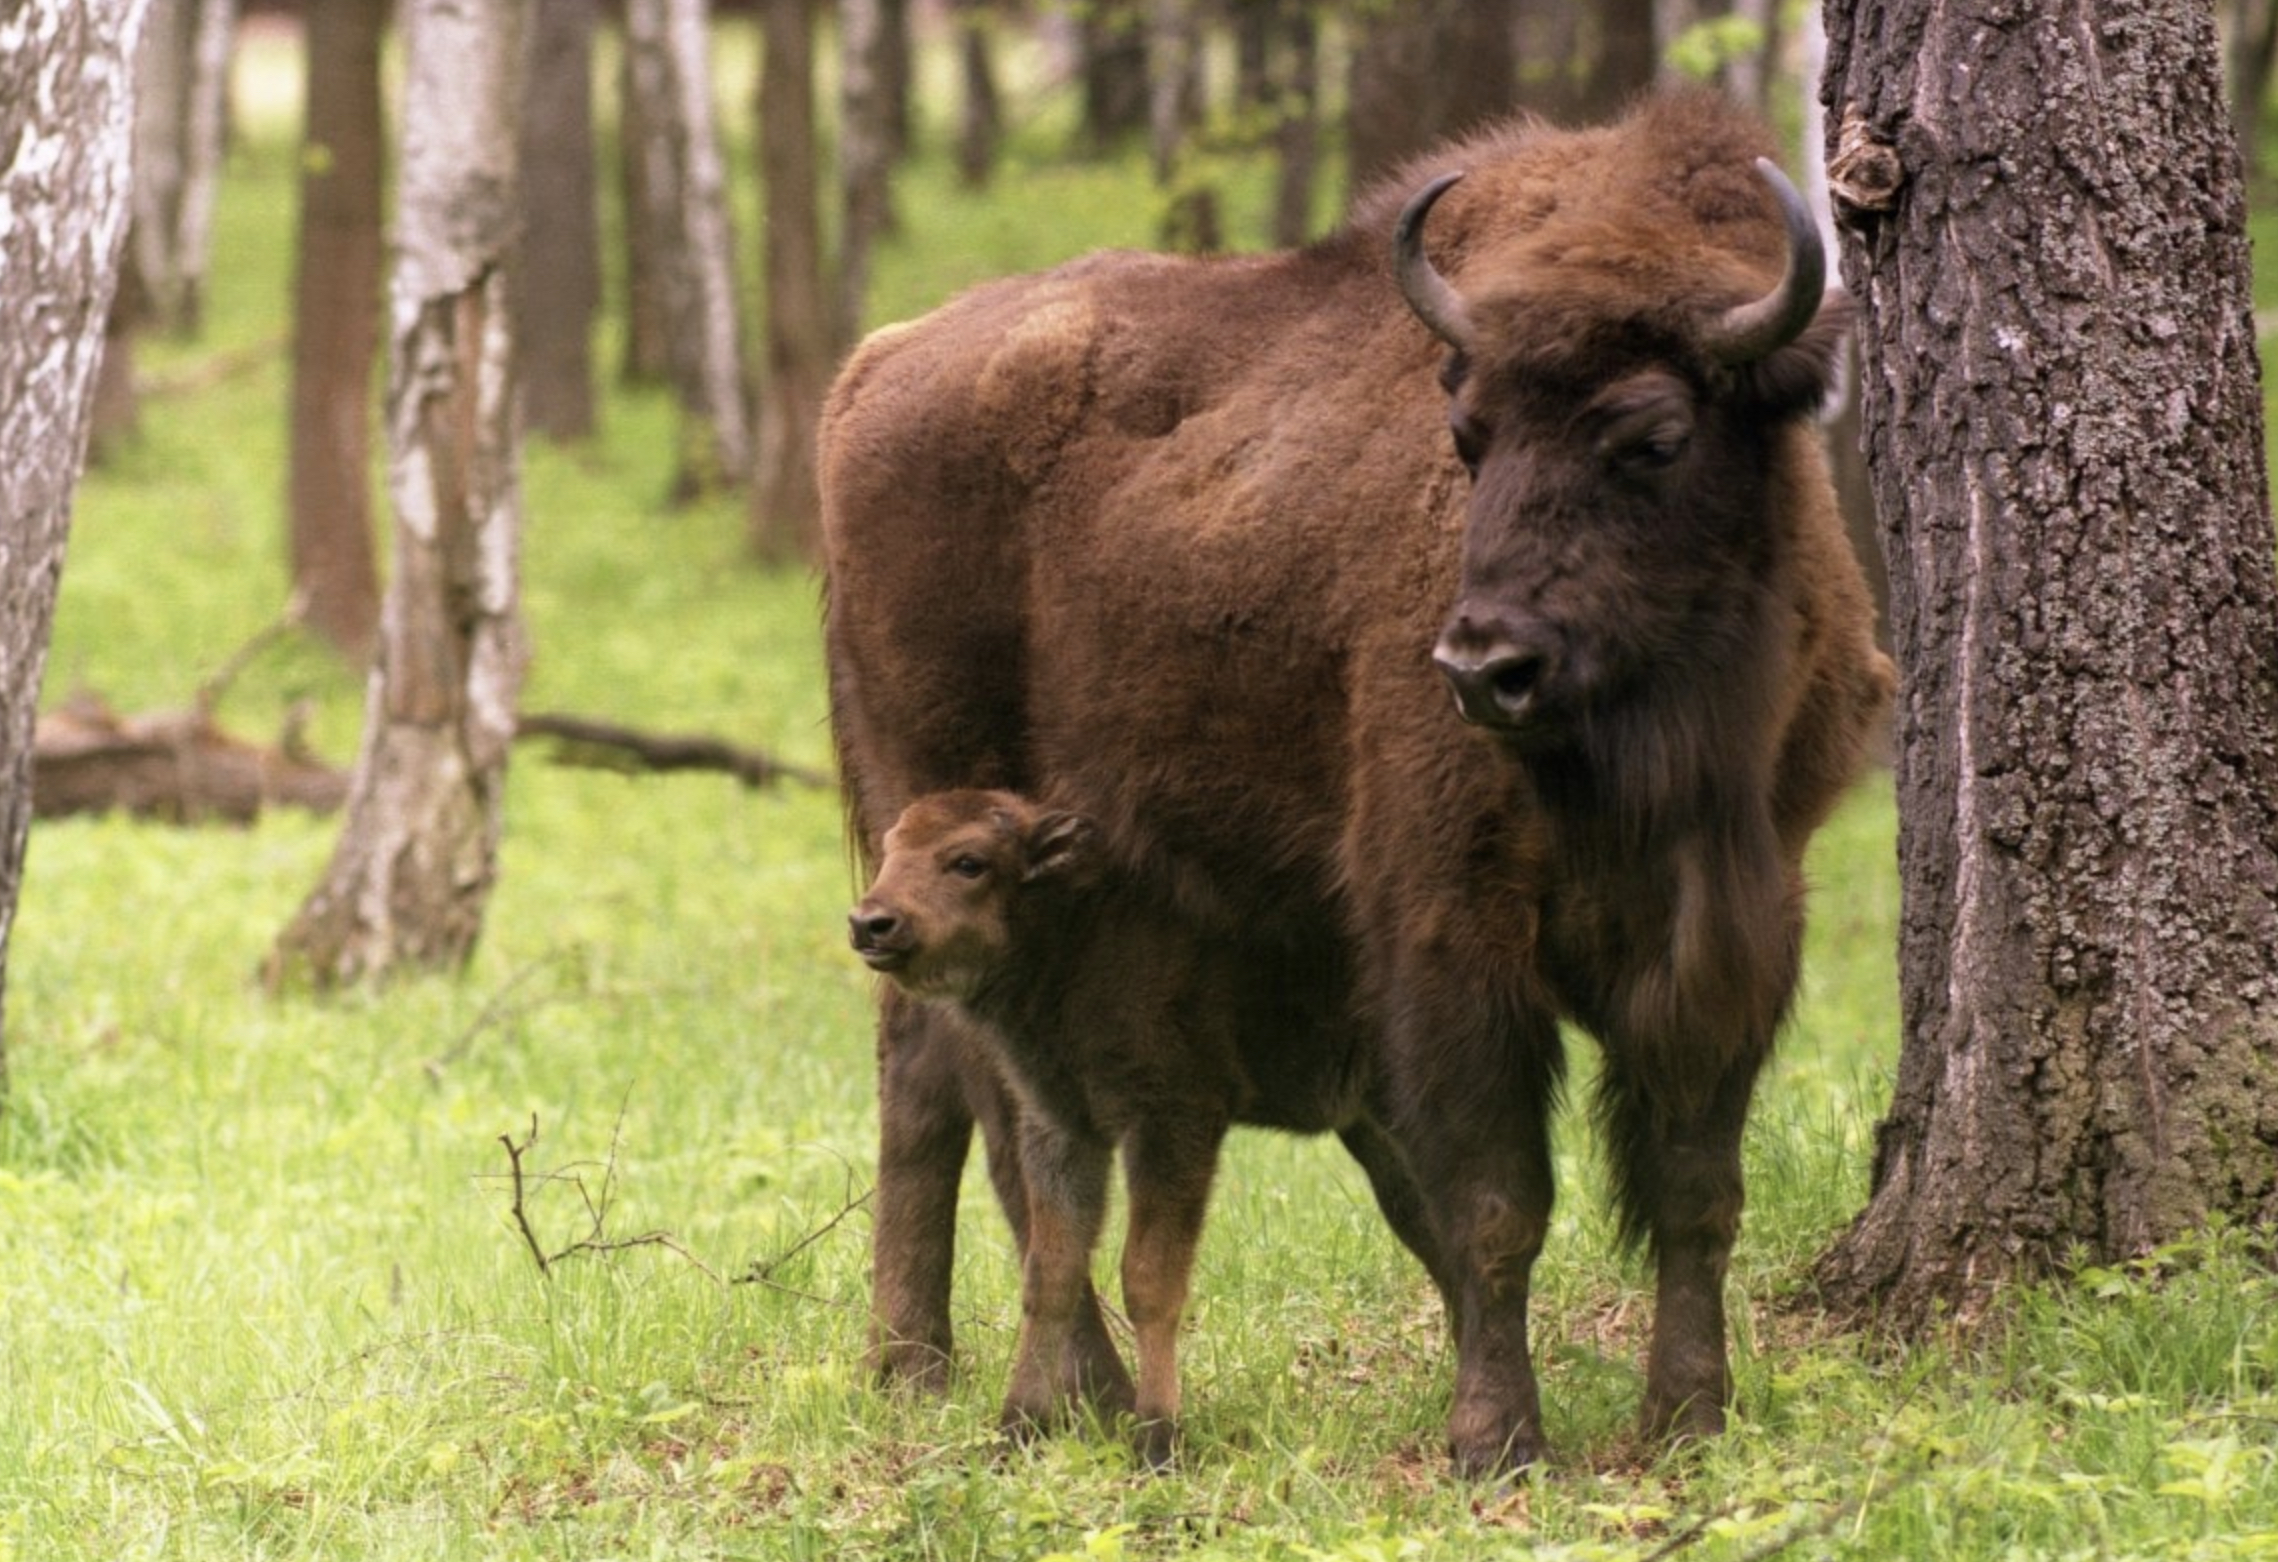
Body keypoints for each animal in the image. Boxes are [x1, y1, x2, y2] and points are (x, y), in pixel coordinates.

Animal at [847, 796, 1448, 1466]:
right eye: (891, 848)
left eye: (969, 861)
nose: (870, 923)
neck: (1074, 938)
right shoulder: (1062, 1126)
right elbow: (1050, 1273)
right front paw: (1015, 1428)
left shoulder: (1171, 1122)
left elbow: (1149, 1278)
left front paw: (1159, 1436)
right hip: (1375, 1129)